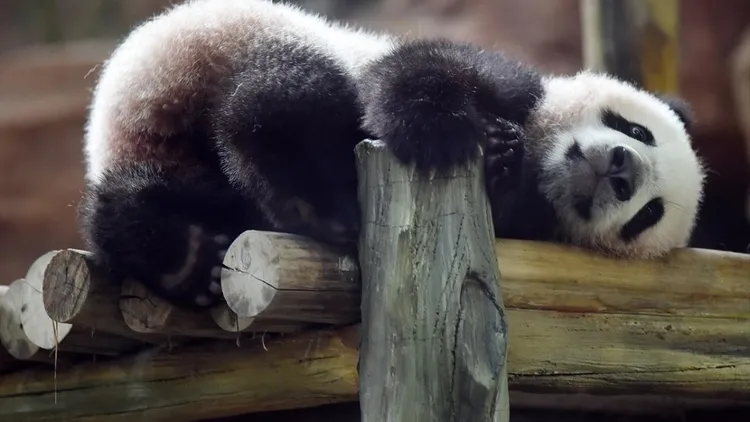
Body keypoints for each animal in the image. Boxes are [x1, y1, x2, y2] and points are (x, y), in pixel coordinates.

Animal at [79, 0, 705, 310]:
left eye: (647, 214)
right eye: (636, 129)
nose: (622, 168)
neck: (541, 155)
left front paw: (499, 162)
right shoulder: (515, 82)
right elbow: (416, 72)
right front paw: (452, 136)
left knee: (142, 194)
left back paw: (186, 256)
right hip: (226, 42)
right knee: (280, 96)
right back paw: (300, 206)